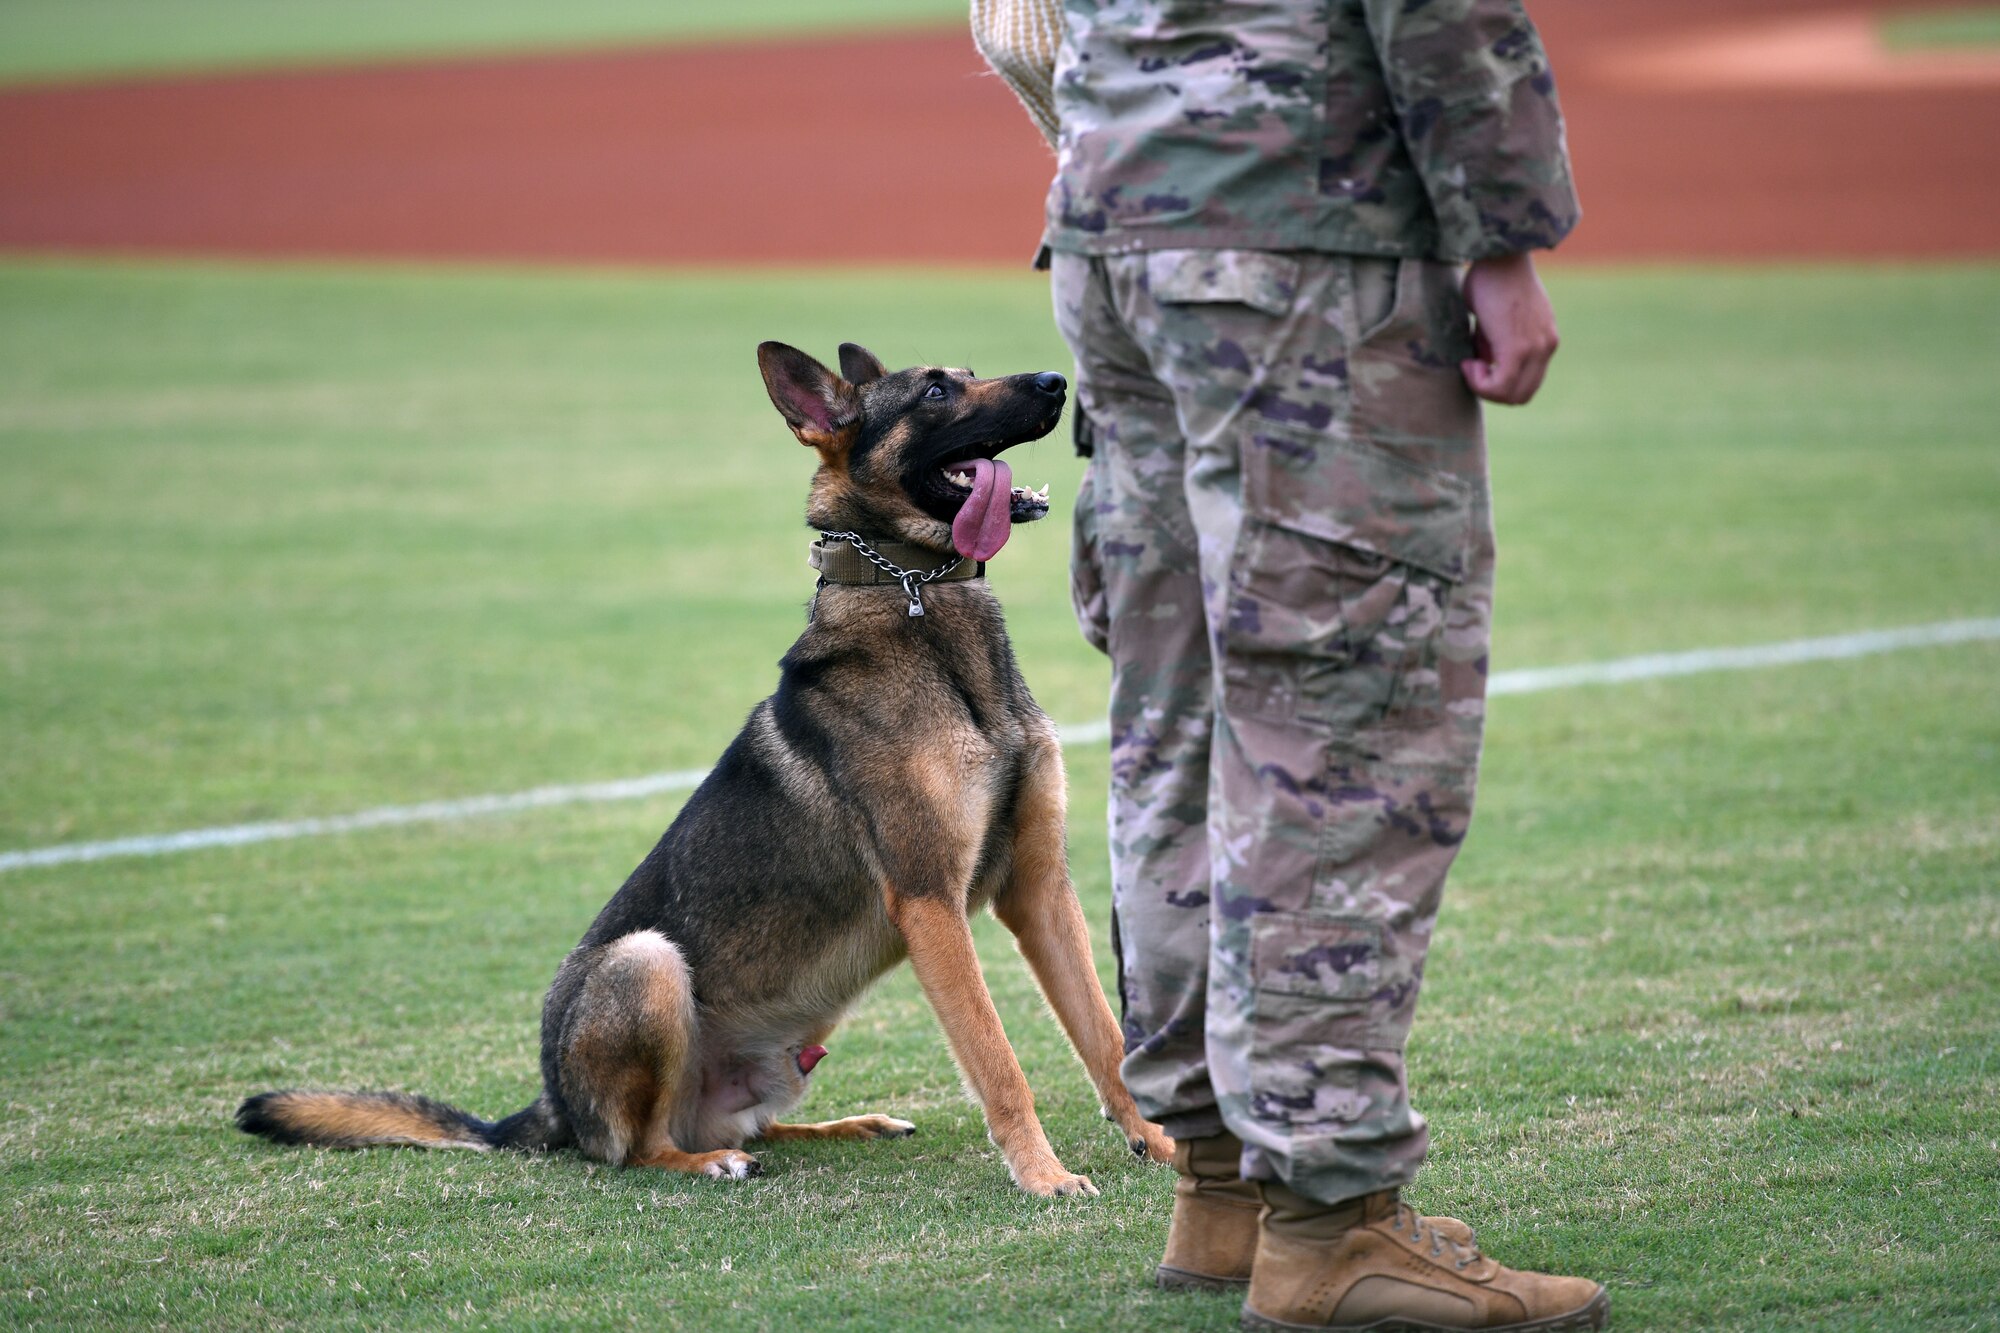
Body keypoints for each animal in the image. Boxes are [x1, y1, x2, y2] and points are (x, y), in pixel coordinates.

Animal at [238, 342, 1168, 1192]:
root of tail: (547, 1105)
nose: (1058, 382)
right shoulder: (930, 901)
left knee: (753, 1124)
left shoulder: (1038, 886)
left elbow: (1107, 1036)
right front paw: (1043, 1174)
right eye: (937, 390)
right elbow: (999, 1059)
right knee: (641, 1148)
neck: (914, 599)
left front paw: (1159, 1143)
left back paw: (849, 1125)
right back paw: (710, 1160)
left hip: (785, 1054)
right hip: (646, 963)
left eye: (972, 372)